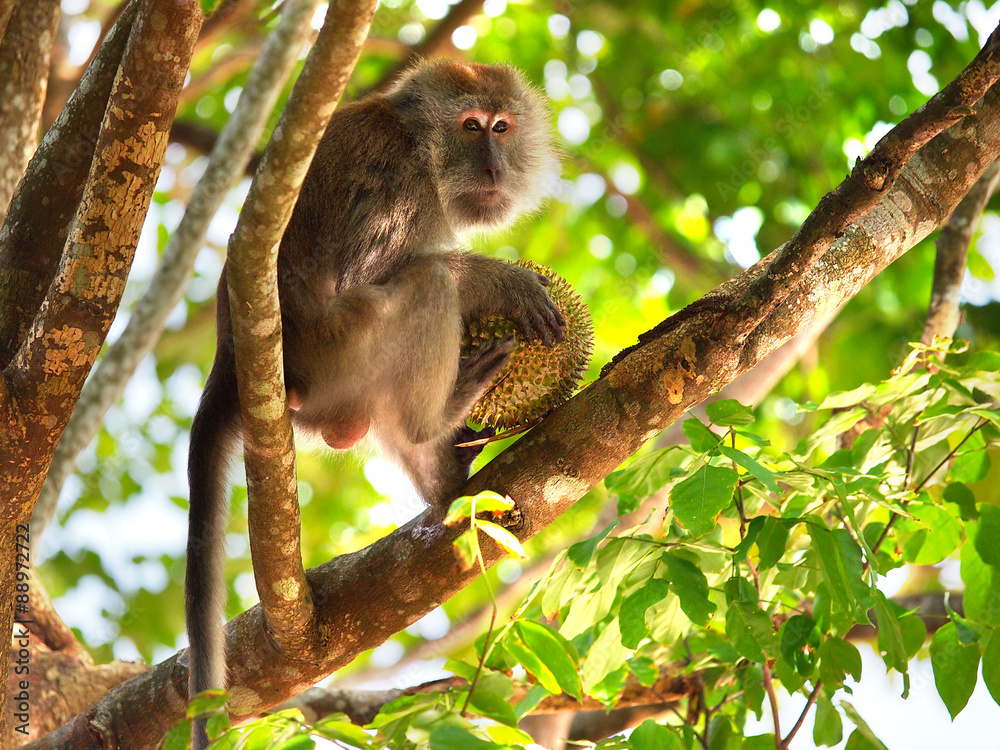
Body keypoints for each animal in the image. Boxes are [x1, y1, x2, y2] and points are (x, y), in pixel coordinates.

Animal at [185, 60, 563, 748]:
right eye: (472, 127)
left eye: (502, 127)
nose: (494, 166)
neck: (421, 146)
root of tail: (231, 355)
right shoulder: (399, 185)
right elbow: (370, 273)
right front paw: (503, 279)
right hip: (344, 351)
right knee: (429, 282)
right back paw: (439, 415)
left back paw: (441, 473)